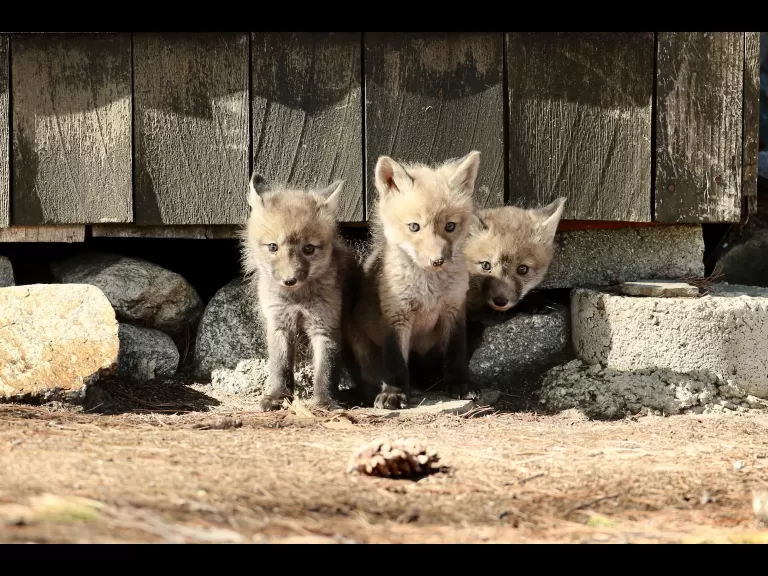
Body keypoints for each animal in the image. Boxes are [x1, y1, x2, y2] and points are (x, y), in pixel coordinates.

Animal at [239, 172, 354, 412]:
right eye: (273, 247)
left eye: (308, 249)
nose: (289, 280)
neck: (296, 299)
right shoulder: (279, 324)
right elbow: (280, 367)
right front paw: (278, 396)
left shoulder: (325, 325)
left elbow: (326, 371)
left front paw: (325, 402)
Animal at [343, 151, 481, 410]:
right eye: (414, 227)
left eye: (450, 226)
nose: (437, 260)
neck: (429, 291)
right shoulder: (395, 317)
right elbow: (396, 363)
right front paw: (395, 393)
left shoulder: (454, 311)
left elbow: (455, 355)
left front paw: (459, 384)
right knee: (370, 381)